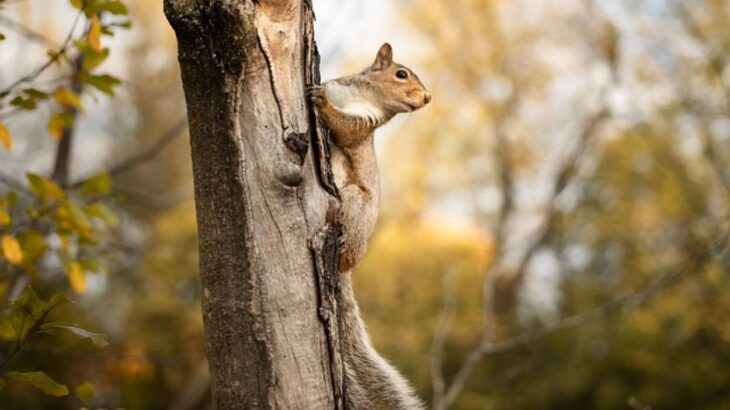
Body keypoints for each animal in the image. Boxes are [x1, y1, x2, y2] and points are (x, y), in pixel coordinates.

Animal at [308, 43, 432, 408]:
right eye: (401, 73)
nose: (427, 97)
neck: (361, 93)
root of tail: (349, 266)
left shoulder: (364, 123)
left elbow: (345, 129)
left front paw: (322, 102)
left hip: (353, 202)